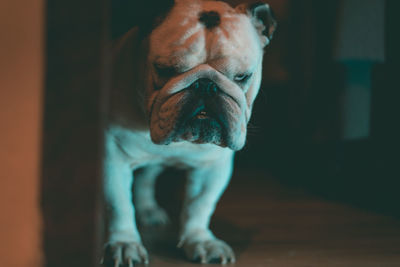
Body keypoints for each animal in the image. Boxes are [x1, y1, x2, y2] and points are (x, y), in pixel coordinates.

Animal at [104, 0, 276, 266]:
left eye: (242, 76)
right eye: (165, 69)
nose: (206, 85)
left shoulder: (211, 168)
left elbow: (199, 206)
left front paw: (200, 241)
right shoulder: (112, 160)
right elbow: (119, 205)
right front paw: (124, 244)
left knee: (147, 177)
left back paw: (148, 210)